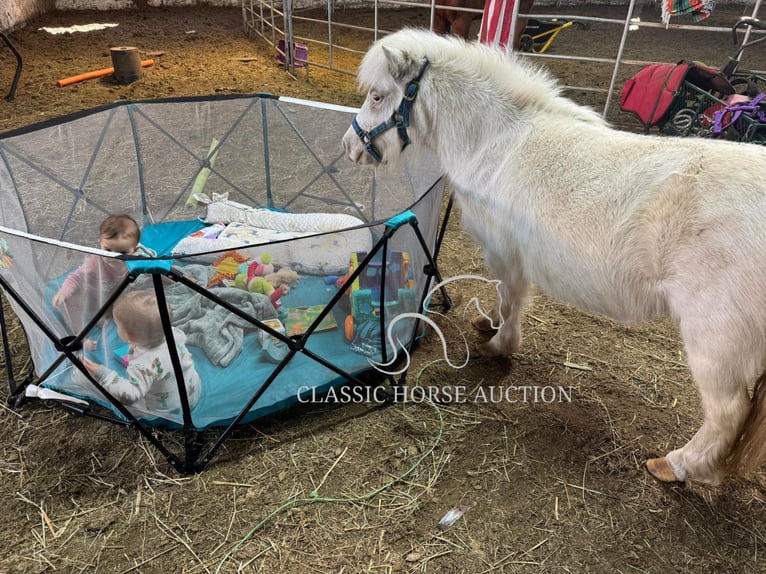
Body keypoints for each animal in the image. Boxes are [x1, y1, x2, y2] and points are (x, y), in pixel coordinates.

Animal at [344, 27, 766, 486]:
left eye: (378, 97)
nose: (349, 146)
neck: (498, 141)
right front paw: (489, 326)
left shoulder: (504, 253)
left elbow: (509, 299)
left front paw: (499, 344)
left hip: (715, 339)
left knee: (726, 414)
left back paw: (675, 465)